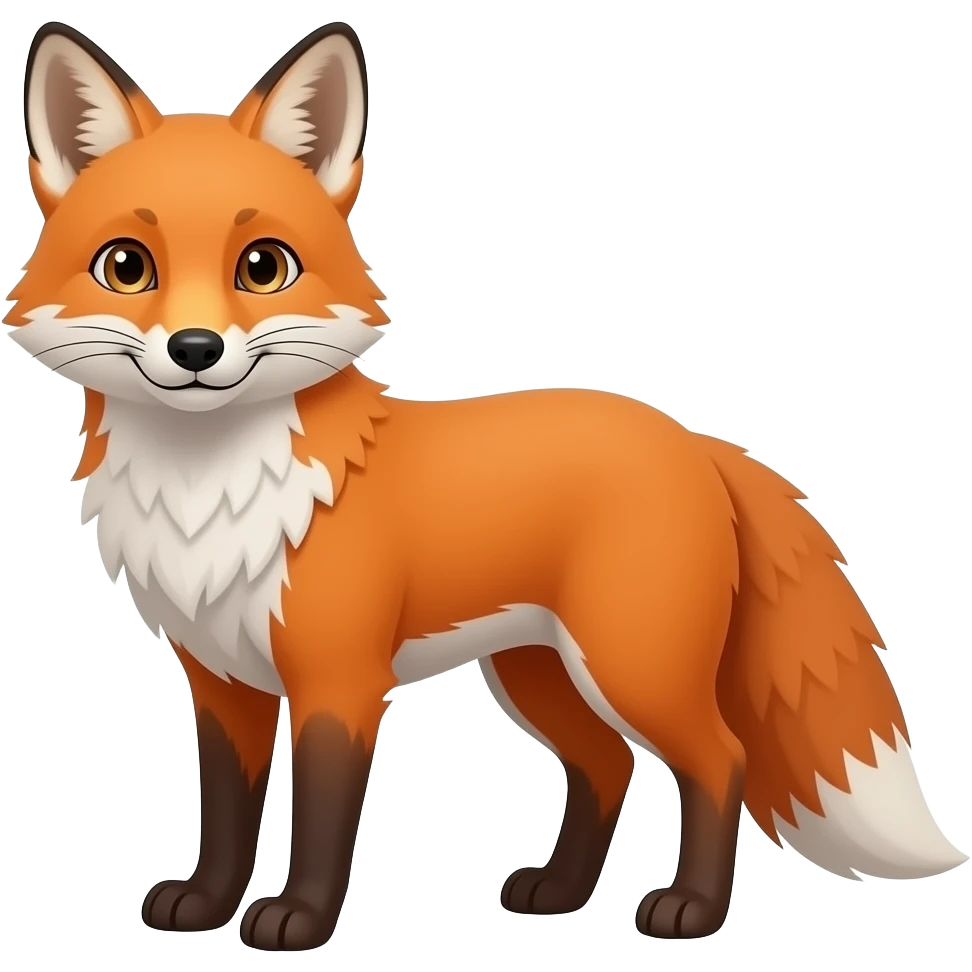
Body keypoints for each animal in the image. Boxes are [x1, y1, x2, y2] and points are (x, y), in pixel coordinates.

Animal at [4, 19, 967, 953]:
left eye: (263, 267)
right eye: (127, 267)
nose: (196, 350)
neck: (211, 493)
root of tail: (693, 439)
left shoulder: (339, 680)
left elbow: (321, 819)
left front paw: (299, 922)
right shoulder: (222, 680)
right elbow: (230, 815)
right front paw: (206, 906)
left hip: (632, 665)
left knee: (718, 758)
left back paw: (690, 910)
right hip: (537, 671)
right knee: (607, 765)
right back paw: (559, 895)